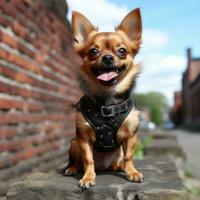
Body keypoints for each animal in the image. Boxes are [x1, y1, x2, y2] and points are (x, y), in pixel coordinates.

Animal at [65, 8, 143, 189]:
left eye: (122, 51)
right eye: (93, 51)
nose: (107, 57)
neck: (108, 101)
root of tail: (104, 167)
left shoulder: (130, 135)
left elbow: (129, 156)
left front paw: (132, 172)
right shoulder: (83, 137)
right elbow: (88, 159)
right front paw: (88, 177)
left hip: (117, 152)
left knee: (119, 160)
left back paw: (119, 167)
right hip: (74, 144)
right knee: (78, 162)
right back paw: (72, 169)